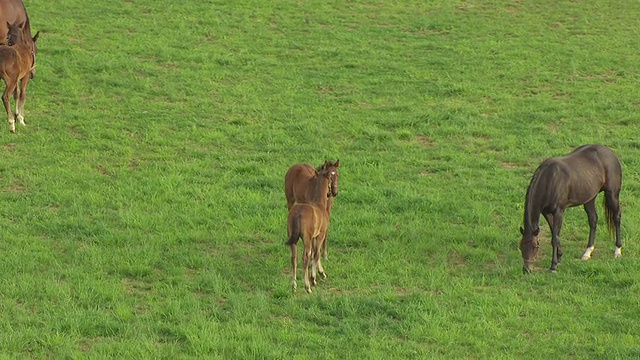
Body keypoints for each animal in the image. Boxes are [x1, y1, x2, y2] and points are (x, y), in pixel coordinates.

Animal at [520, 143, 620, 272]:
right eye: (521, 246)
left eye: (535, 247)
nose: (527, 270)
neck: (549, 180)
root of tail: (611, 153)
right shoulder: (546, 212)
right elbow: (554, 233)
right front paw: (559, 257)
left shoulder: (559, 211)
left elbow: (554, 238)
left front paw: (553, 266)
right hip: (589, 198)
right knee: (593, 220)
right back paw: (587, 252)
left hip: (612, 195)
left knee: (616, 217)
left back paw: (618, 250)